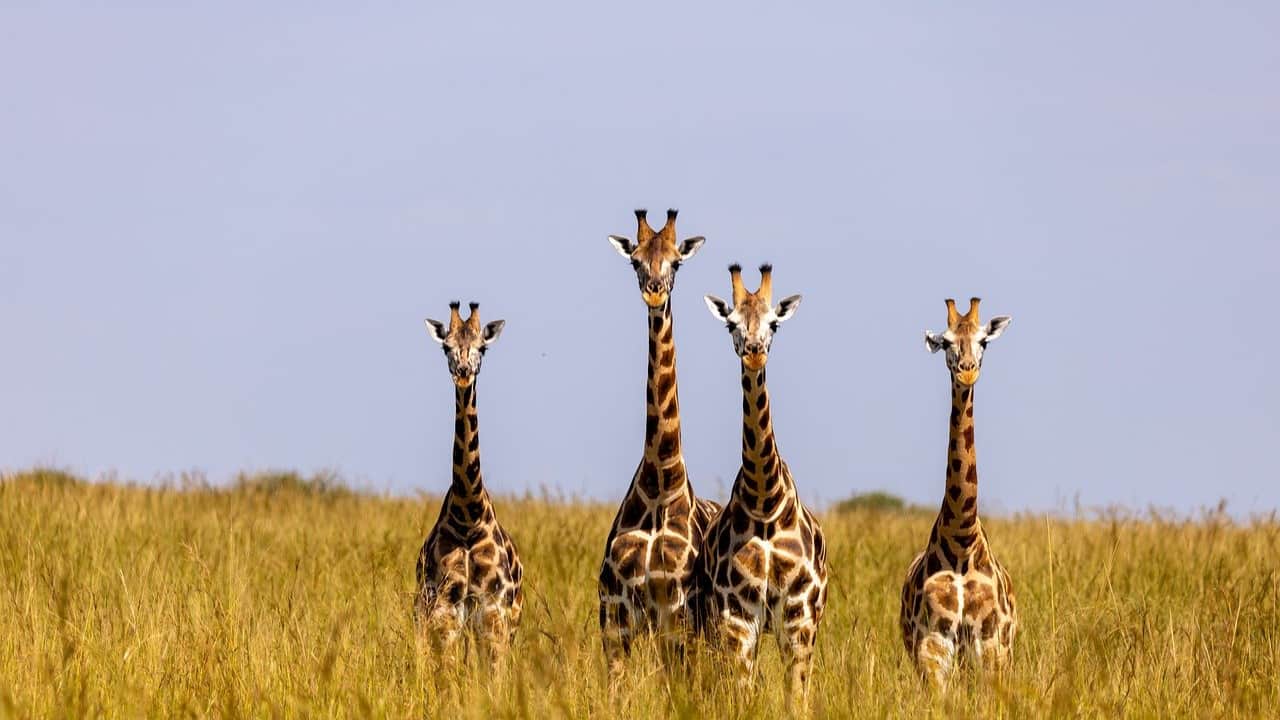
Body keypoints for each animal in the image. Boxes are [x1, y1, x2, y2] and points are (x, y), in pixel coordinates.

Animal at [417, 299, 522, 666]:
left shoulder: (494, 613)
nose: (463, 373)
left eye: (482, 347)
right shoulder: (445, 611)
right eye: (447, 347)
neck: (468, 513)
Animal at [596, 208, 727, 676]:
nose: (654, 294)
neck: (658, 483)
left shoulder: (675, 612)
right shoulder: (615, 615)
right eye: (635, 261)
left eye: (676, 262)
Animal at [696, 260, 824, 702]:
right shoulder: (737, 614)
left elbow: (796, 698)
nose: (754, 352)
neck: (764, 500)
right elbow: (742, 693)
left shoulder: (799, 615)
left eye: (774, 324)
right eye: (731, 323)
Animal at [901, 295, 1018, 681]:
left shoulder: (992, 647)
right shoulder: (932, 646)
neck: (962, 539)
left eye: (983, 341)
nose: (967, 370)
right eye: (947, 342)